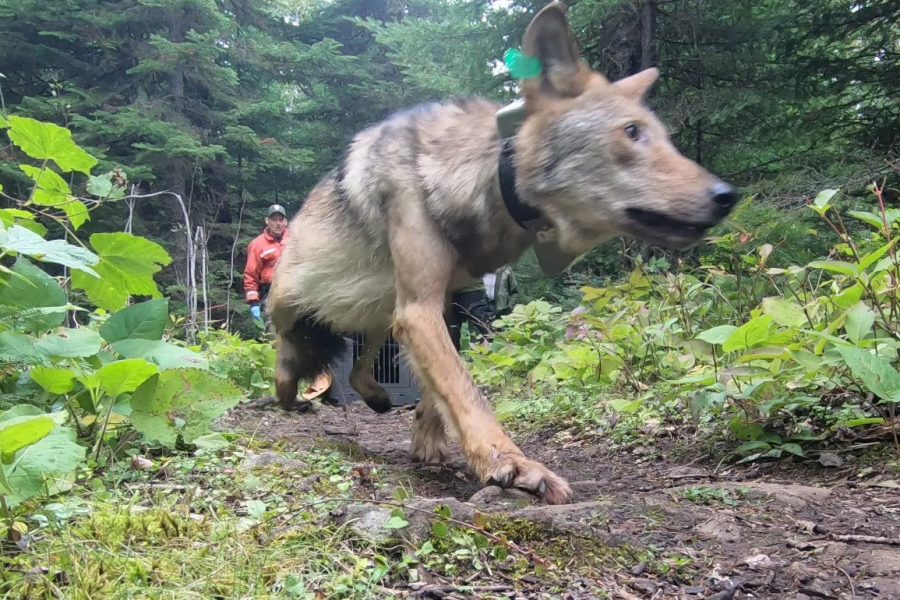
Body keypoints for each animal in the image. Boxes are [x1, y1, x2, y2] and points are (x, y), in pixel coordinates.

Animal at [268, 2, 740, 504]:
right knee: (286, 357)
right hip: (294, 305)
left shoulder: (441, 304)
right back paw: (292, 395)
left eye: (665, 137)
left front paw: (429, 442)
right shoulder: (420, 310)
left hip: (380, 312)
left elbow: (441, 389)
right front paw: (512, 465)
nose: (727, 196)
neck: (483, 176)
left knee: (360, 369)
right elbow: (466, 390)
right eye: (632, 132)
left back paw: (376, 398)